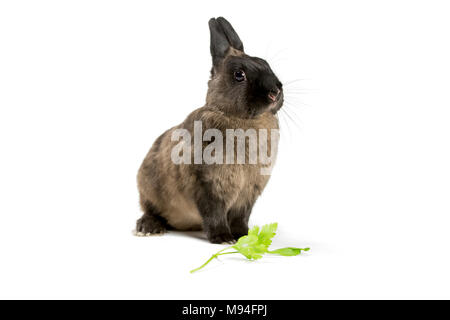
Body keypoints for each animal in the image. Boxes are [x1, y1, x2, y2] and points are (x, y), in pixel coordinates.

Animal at [135, 16, 284, 242]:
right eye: (239, 75)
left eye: (266, 64)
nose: (274, 93)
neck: (240, 118)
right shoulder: (207, 185)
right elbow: (214, 213)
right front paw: (223, 238)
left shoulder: (248, 192)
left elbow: (240, 217)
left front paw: (243, 236)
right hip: (149, 187)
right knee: (151, 209)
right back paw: (148, 227)